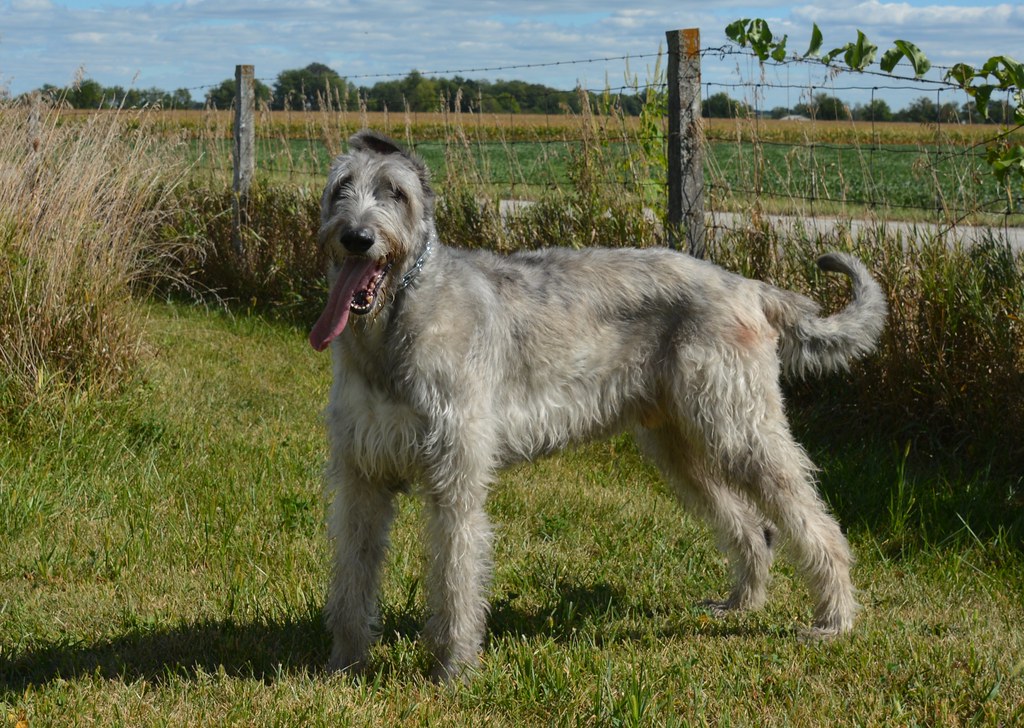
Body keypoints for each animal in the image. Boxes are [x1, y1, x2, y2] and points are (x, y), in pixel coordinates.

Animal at [309, 131, 888, 683]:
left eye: (396, 193)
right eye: (341, 188)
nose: (356, 237)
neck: (393, 326)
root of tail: (748, 287)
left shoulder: (457, 478)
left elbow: (456, 577)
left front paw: (453, 672)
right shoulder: (361, 475)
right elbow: (352, 574)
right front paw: (344, 665)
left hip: (739, 429)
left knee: (816, 523)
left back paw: (834, 620)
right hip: (680, 446)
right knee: (753, 529)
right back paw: (738, 605)